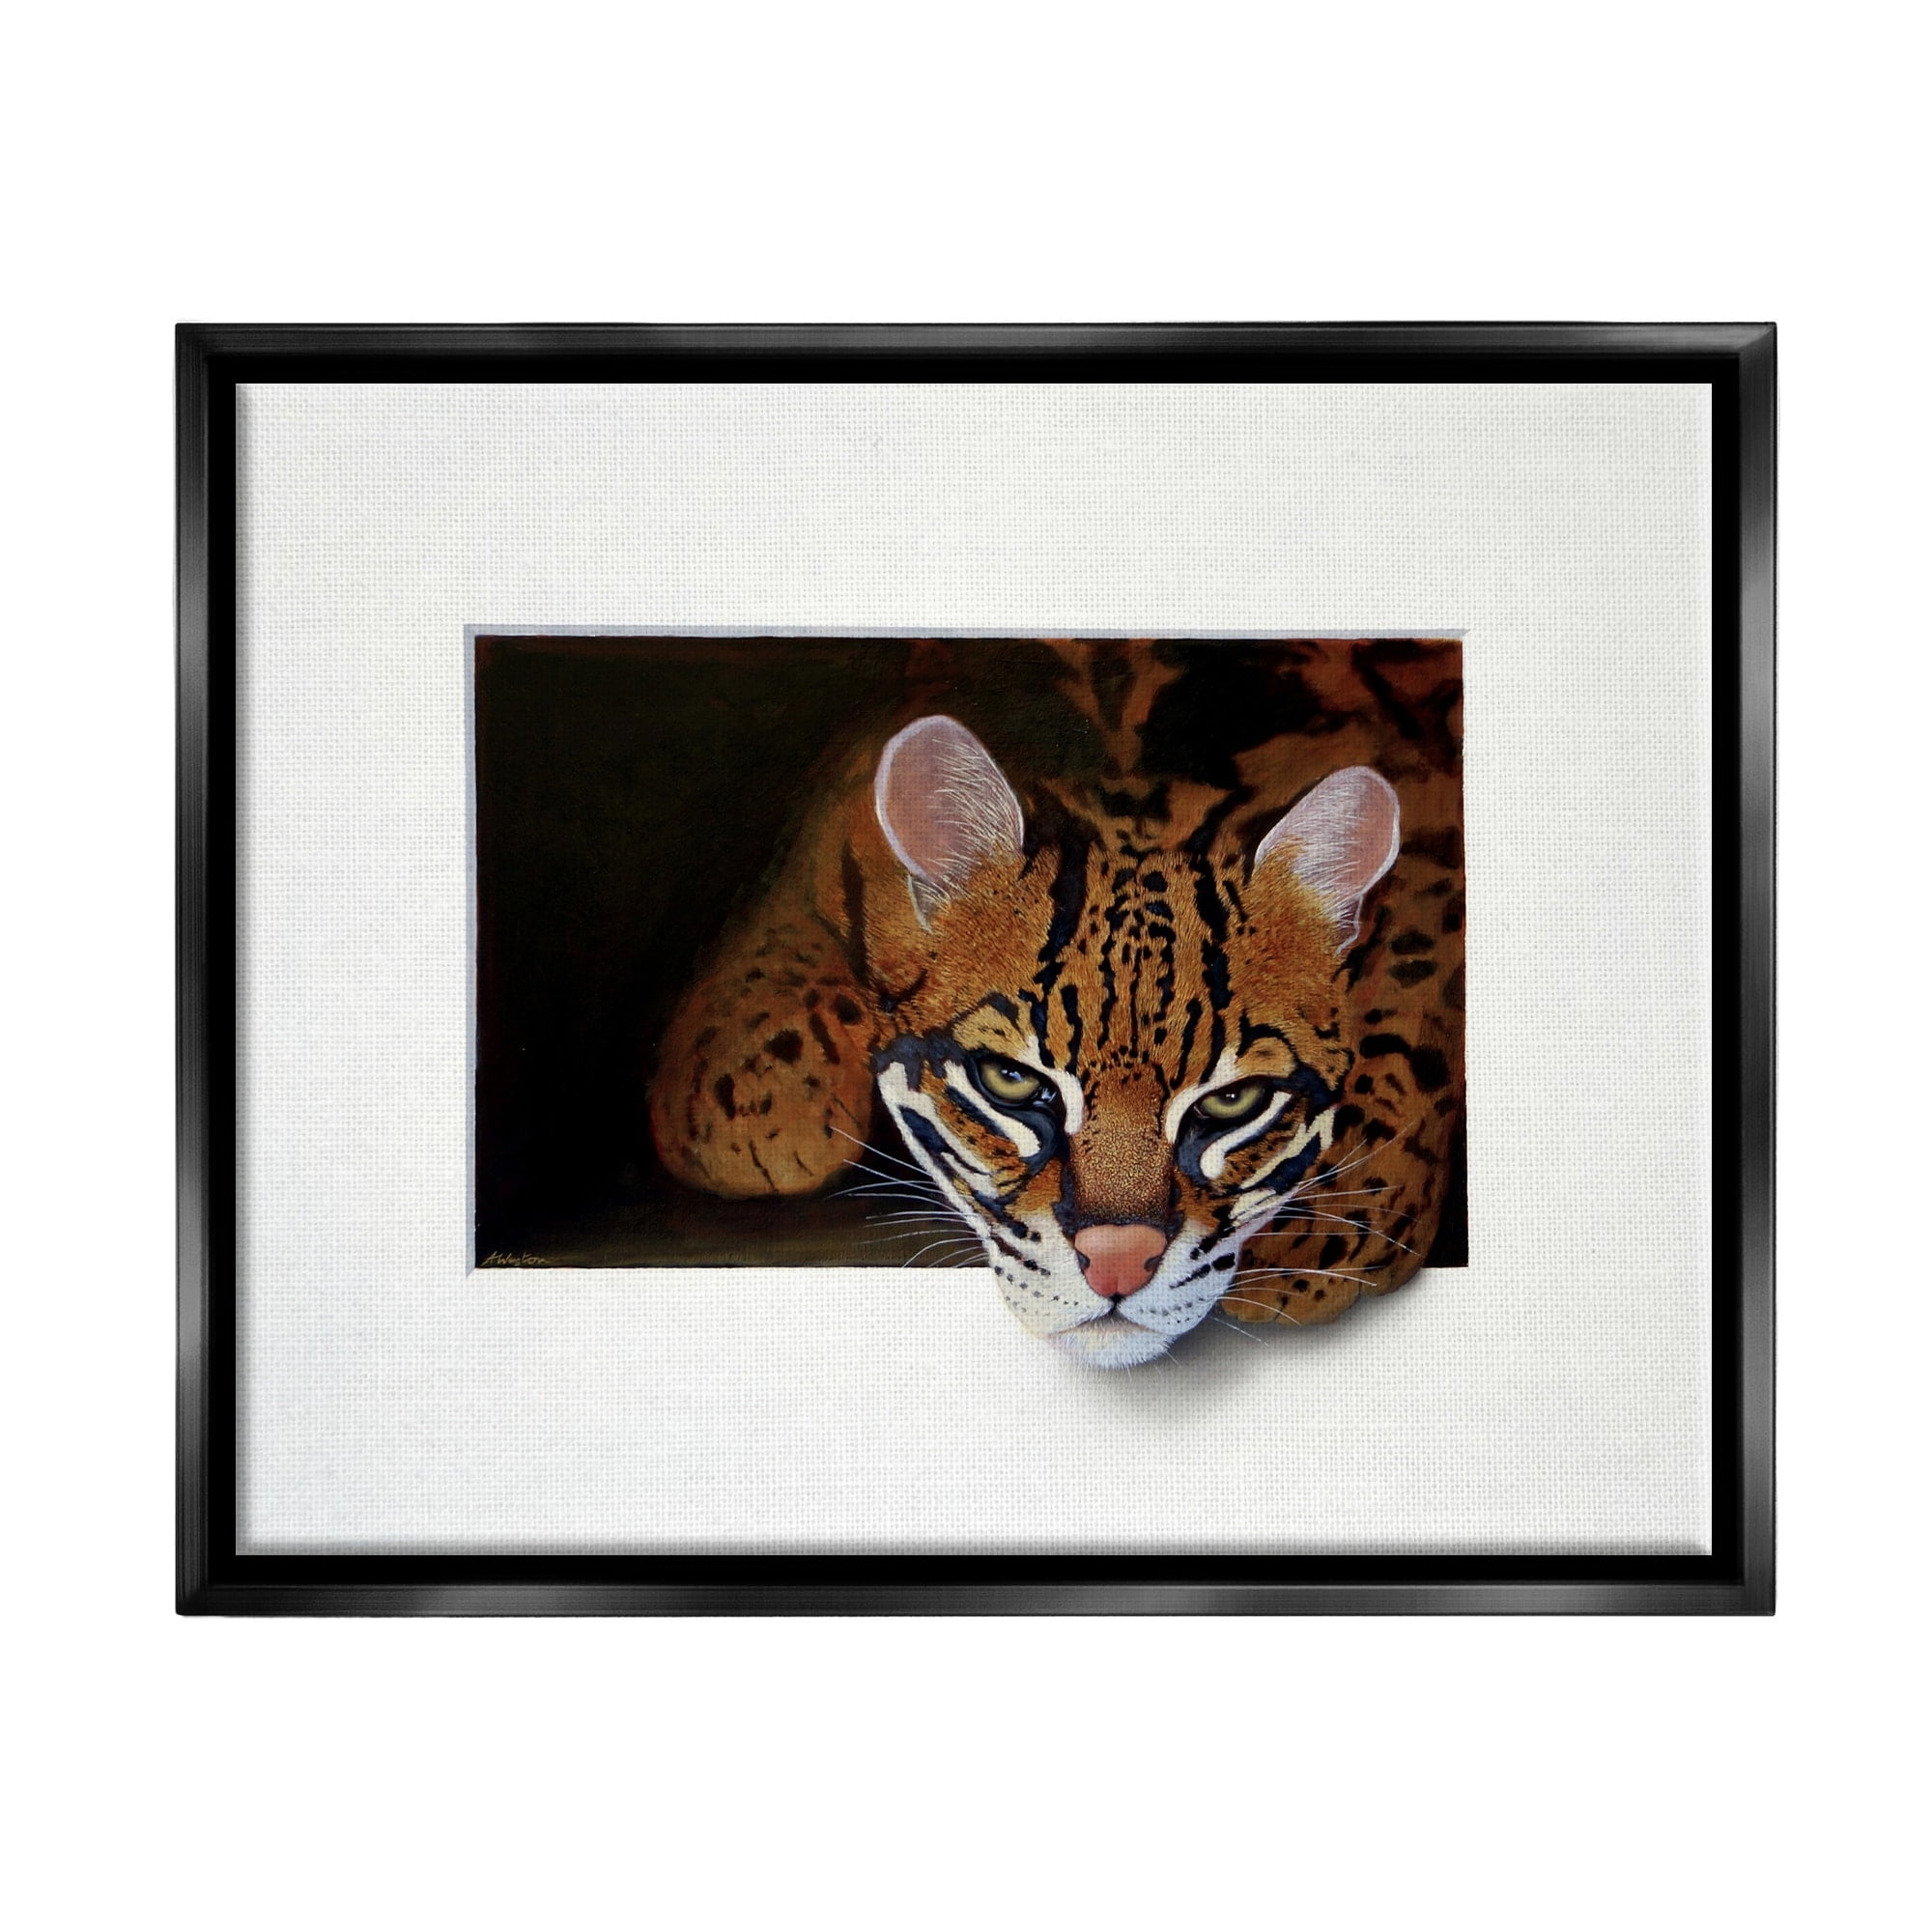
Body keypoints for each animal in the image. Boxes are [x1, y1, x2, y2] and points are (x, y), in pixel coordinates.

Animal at [647, 637, 1464, 1368]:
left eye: (1233, 1103)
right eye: (1010, 1082)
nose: (1118, 1266)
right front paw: (750, 1088)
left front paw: (1333, 1215)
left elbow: (1418, 995)